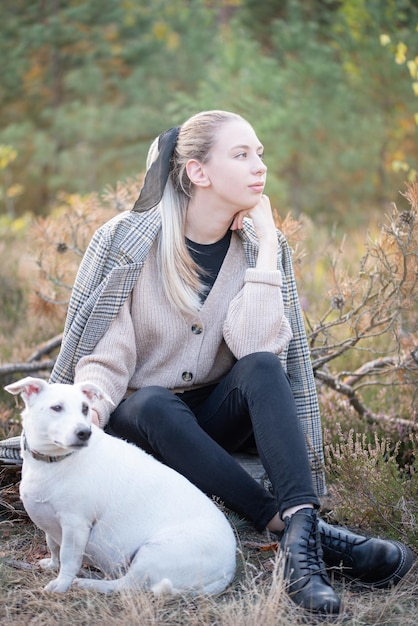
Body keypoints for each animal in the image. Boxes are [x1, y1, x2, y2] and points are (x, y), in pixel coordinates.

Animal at [4, 376, 237, 596]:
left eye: (85, 408)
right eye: (56, 408)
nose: (84, 433)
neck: (54, 461)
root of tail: (229, 569)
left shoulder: (75, 525)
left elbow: (69, 558)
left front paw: (61, 584)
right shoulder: (50, 523)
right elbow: (53, 546)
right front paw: (52, 565)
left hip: (151, 554)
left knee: (124, 586)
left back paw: (89, 583)